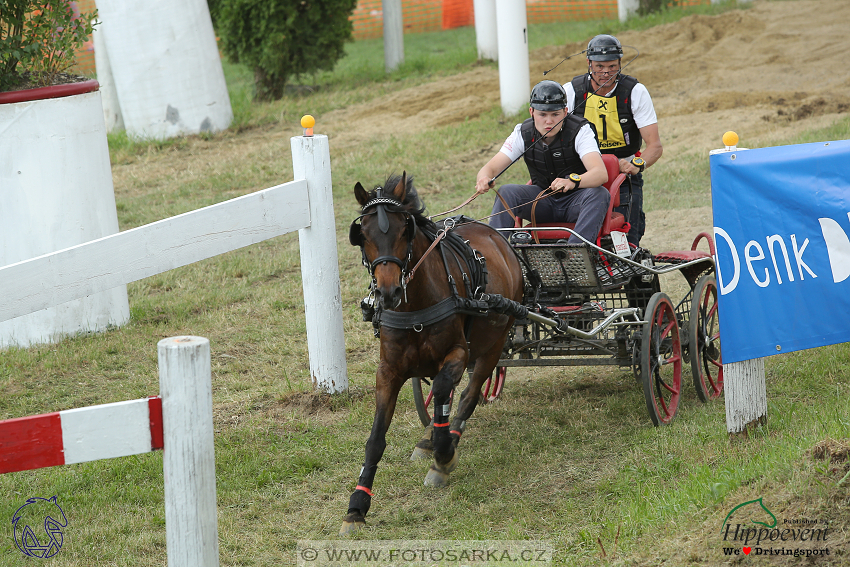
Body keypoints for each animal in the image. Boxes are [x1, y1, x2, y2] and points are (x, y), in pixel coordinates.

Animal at [342, 171, 520, 536]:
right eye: (362, 234)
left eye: (403, 230)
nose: (388, 292)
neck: (415, 306)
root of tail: (496, 235)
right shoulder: (388, 371)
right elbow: (376, 437)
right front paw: (357, 505)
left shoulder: (459, 354)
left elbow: (442, 390)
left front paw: (444, 454)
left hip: (494, 344)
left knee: (469, 394)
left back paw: (445, 442)